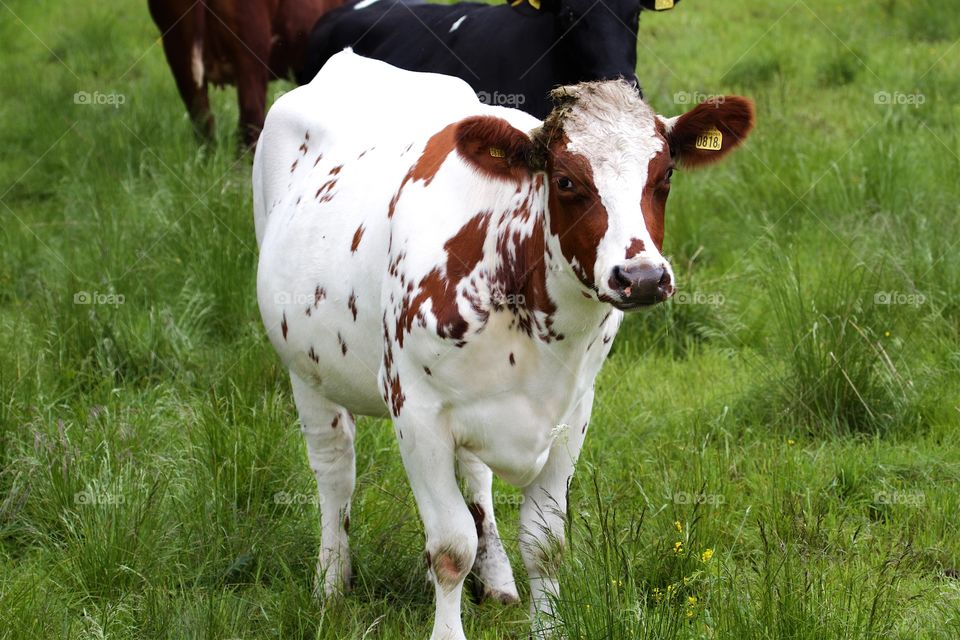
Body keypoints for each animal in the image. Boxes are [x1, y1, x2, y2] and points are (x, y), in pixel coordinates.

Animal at [253, 51, 752, 640]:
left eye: (665, 175)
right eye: (565, 180)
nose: (643, 277)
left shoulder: (573, 413)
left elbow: (545, 544)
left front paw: (546, 625)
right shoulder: (415, 410)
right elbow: (450, 547)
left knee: (476, 478)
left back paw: (497, 580)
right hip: (305, 369)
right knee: (334, 471)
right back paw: (331, 583)